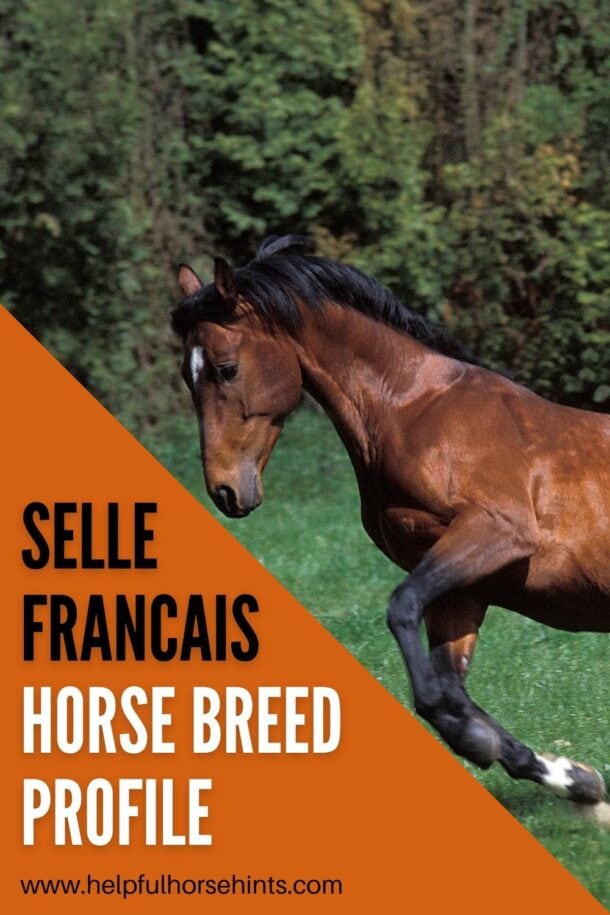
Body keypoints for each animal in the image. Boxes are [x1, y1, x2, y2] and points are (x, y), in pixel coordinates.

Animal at [172, 234, 609, 804]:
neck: (415, 411)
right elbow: (443, 688)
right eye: (187, 375)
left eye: (226, 368)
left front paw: (494, 745)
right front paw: (575, 780)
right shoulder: (464, 589)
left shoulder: (495, 533)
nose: (226, 491)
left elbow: (403, 612)